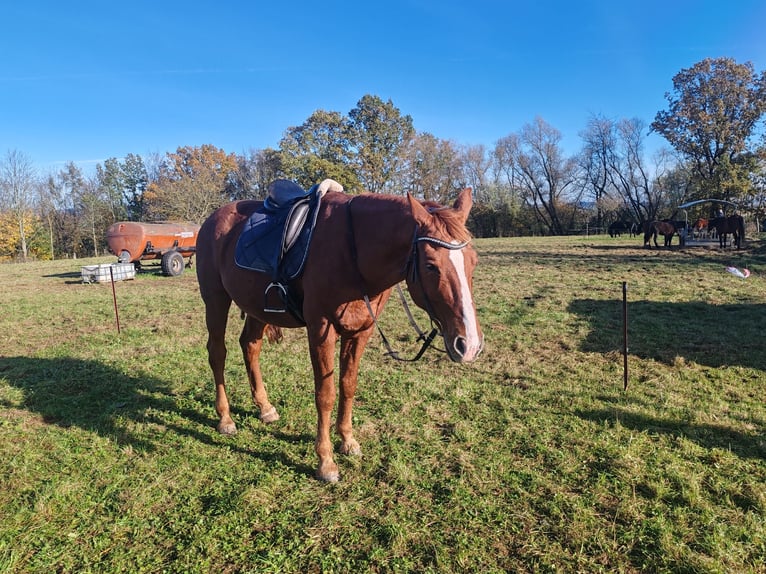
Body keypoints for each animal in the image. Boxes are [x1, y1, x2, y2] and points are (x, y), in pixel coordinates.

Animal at [198, 182, 486, 484]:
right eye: (430, 265)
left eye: (474, 261)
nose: (469, 345)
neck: (354, 251)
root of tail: (212, 220)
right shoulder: (321, 330)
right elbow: (325, 394)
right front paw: (326, 461)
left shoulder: (360, 331)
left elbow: (348, 385)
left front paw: (347, 440)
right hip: (215, 299)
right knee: (217, 353)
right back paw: (225, 418)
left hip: (257, 308)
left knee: (250, 346)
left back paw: (265, 408)